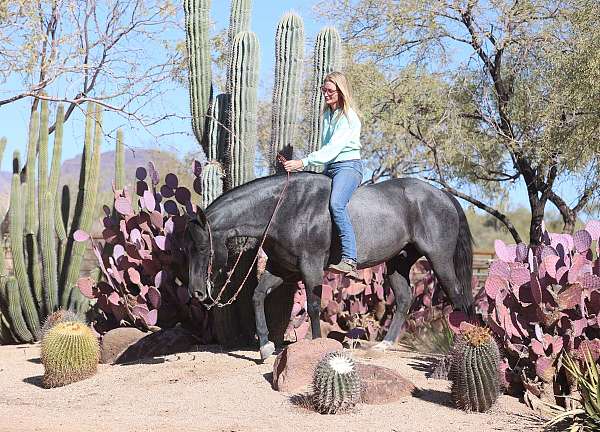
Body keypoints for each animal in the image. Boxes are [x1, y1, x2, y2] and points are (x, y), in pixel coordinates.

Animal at [185, 171, 476, 358]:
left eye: (202, 247)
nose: (196, 292)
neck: (285, 208)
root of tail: (443, 196)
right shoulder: (281, 268)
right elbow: (258, 296)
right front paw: (265, 348)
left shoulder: (310, 267)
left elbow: (313, 306)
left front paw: (315, 345)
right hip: (398, 264)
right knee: (405, 299)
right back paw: (384, 346)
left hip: (439, 259)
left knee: (457, 297)